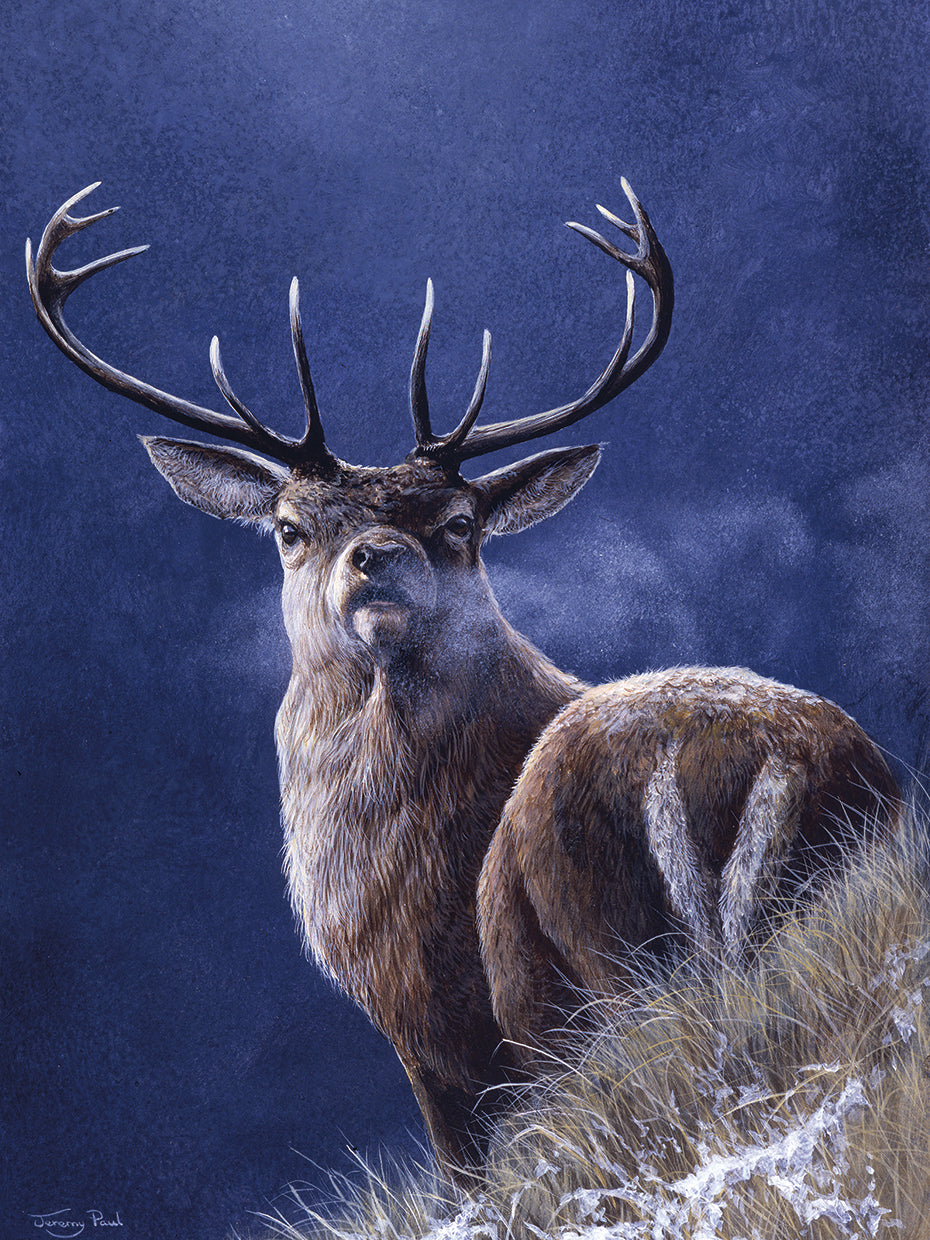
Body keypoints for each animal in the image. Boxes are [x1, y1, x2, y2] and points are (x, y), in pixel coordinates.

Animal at [27, 181, 900, 1179]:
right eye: (289, 527)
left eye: (458, 523)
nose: (378, 557)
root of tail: (728, 760)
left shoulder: (435, 1030)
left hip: (603, 947)